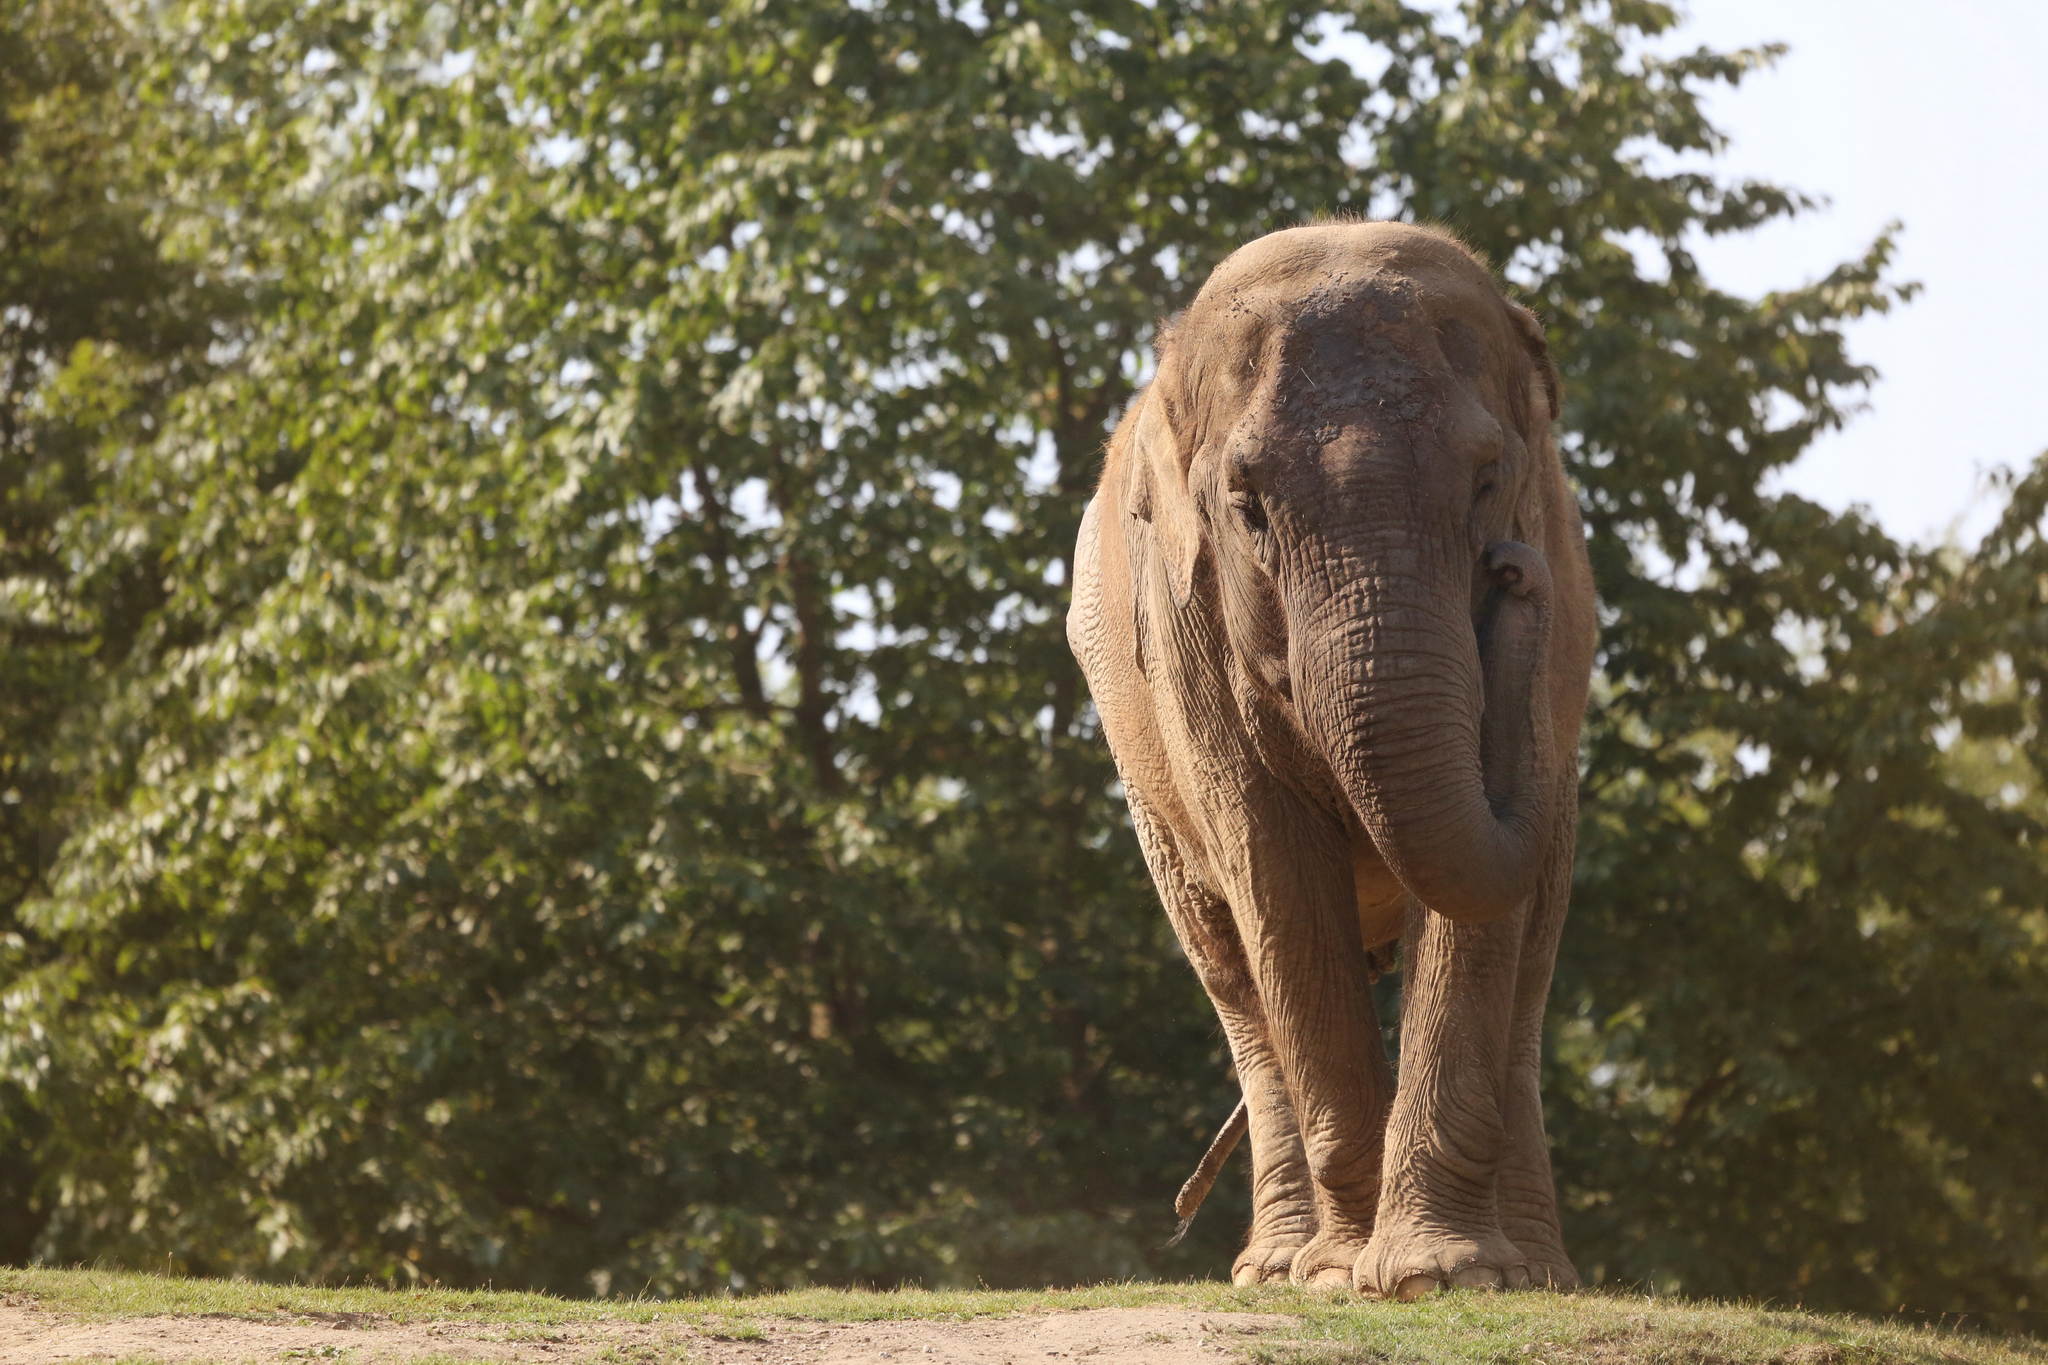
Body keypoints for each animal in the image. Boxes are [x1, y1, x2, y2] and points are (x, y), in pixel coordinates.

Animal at [1065, 221, 1597, 1296]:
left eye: (1489, 483)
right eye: (1247, 507)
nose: (1515, 572)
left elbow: (1480, 911)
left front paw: (1443, 1277)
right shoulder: (1185, 638)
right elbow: (1276, 874)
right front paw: (1338, 1276)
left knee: (1531, 959)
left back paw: (1533, 1274)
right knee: (1233, 976)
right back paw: (1275, 1266)